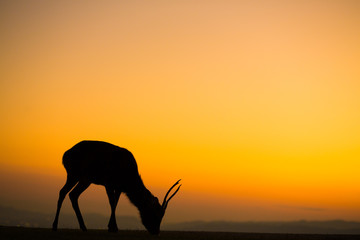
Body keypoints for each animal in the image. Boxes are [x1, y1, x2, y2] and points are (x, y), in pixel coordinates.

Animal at [52, 140, 181, 235]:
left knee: (71, 194)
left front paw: (111, 227)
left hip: (82, 179)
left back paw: (80, 227)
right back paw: (56, 226)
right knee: (65, 192)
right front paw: (113, 228)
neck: (128, 175)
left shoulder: (118, 187)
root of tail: (65, 155)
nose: (156, 231)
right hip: (76, 176)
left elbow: (115, 203)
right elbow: (112, 202)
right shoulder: (108, 183)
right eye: (155, 213)